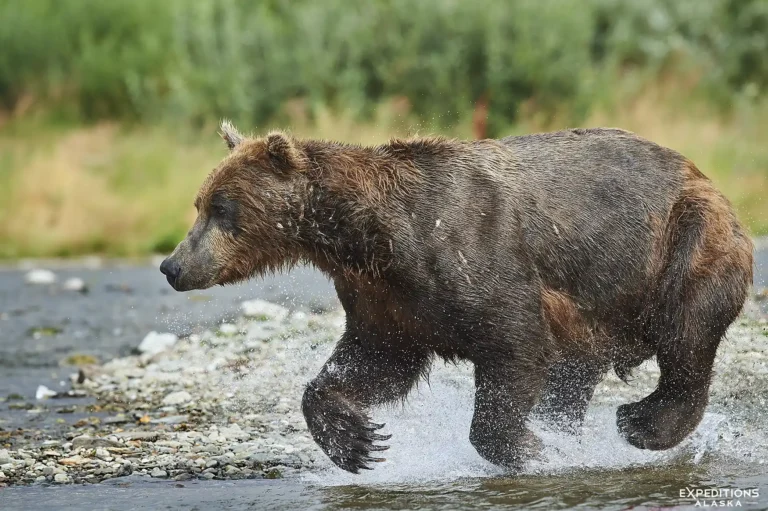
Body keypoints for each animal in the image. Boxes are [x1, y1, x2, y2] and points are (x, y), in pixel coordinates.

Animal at [160, 121, 753, 474]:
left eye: (221, 207)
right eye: (199, 203)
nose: (173, 266)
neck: (367, 237)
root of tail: (706, 177)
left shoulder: (475, 256)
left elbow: (515, 344)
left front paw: (527, 447)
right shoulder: (386, 299)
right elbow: (375, 361)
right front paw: (358, 442)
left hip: (684, 247)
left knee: (686, 341)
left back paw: (641, 423)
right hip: (598, 312)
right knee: (574, 377)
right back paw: (571, 430)